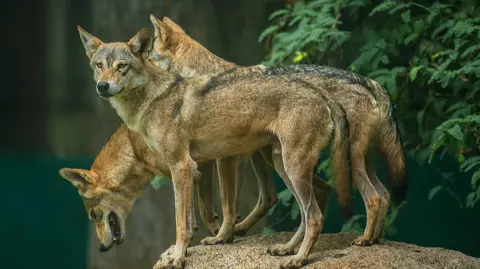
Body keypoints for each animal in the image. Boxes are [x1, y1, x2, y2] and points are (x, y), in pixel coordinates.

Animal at [77, 25, 350, 268]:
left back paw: (298, 259)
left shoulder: (183, 167)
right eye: (99, 66)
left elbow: (183, 223)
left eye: (121, 66)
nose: (103, 86)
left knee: (314, 217)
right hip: (282, 166)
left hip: (290, 168)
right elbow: (192, 220)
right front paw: (185, 252)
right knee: (305, 212)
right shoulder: (193, 170)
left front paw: (178, 258)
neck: (150, 102)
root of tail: (323, 95)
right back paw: (287, 249)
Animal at [152, 15, 406, 245]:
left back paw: (363, 239)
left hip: (329, 161)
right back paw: (373, 239)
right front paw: (215, 231)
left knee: (371, 197)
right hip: (280, 157)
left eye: (147, 56)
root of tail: (371, 83)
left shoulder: (227, 159)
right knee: (381, 194)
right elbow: (206, 207)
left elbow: (226, 205)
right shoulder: (210, 160)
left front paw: (220, 236)